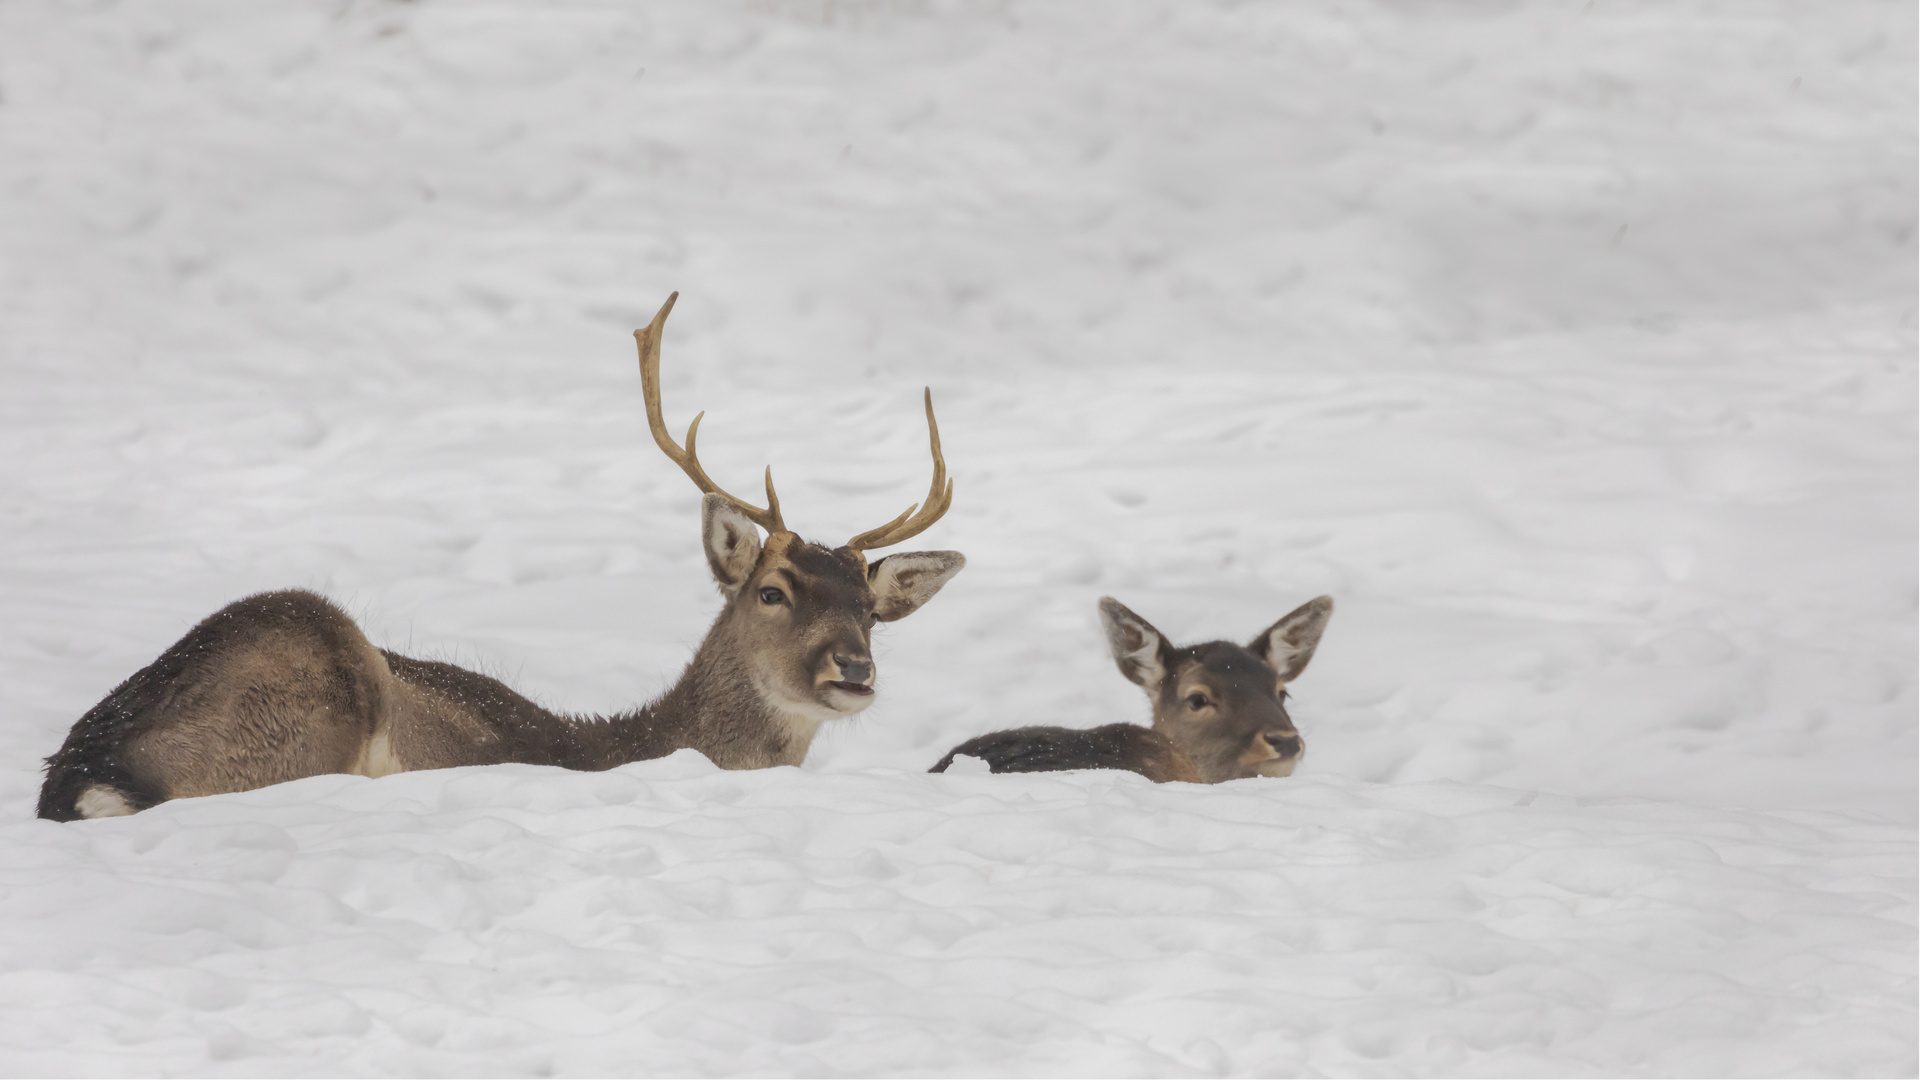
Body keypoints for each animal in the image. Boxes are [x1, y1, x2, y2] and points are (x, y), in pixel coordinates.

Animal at [41, 292, 975, 814]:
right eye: (774, 590)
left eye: (869, 610)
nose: (853, 669)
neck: (640, 741)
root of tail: (91, 768)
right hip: (309, 693)